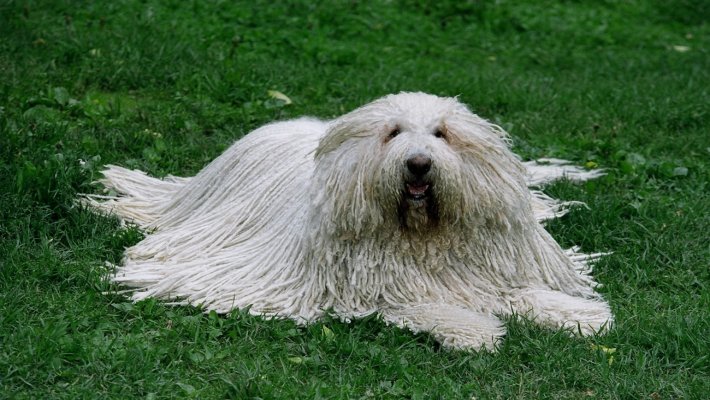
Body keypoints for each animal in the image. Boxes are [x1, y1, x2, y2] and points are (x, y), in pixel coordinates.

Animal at [86, 92, 616, 348]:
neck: (422, 235)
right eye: (394, 132)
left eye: (442, 134)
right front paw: (474, 332)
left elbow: (522, 292)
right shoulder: (383, 290)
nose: (418, 164)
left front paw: (580, 314)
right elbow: (432, 308)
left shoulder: (484, 272)